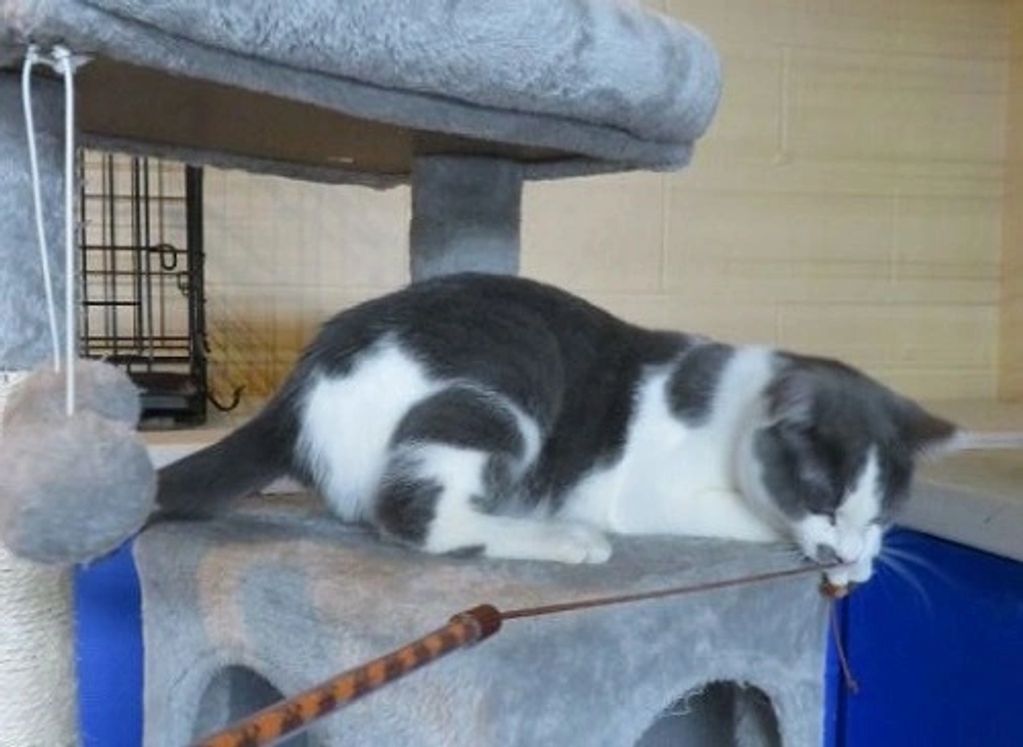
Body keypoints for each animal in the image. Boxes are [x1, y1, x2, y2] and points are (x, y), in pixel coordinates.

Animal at [159, 270, 957, 585]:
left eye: (879, 510)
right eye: (821, 498)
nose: (846, 546)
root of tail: (306, 378)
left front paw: (867, 556)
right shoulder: (649, 490)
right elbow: (757, 520)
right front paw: (839, 558)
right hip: (508, 377)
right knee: (418, 514)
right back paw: (566, 539)